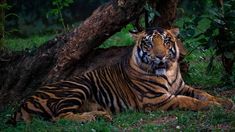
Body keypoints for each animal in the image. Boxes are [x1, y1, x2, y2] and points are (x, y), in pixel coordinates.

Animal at [8, 26, 234, 124]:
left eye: (166, 41)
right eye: (149, 43)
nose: (160, 56)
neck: (169, 72)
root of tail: (22, 104)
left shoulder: (182, 86)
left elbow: (203, 93)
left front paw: (225, 101)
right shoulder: (156, 100)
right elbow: (188, 101)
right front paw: (211, 106)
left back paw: (100, 115)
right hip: (78, 86)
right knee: (59, 118)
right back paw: (94, 117)